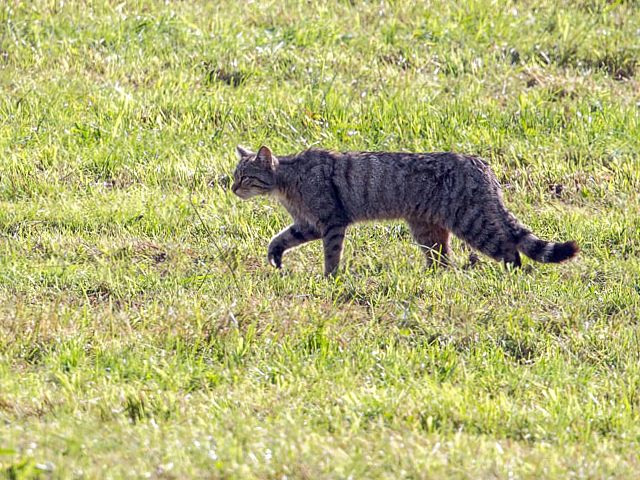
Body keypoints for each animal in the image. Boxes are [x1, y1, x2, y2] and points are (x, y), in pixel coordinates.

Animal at [231, 144, 580, 276]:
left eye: (245, 177)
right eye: (235, 175)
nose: (232, 188)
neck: (287, 183)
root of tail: (482, 165)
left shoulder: (331, 221)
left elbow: (331, 255)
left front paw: (330, 278)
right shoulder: (308, 225)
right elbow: (279, 239)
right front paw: (275, 257)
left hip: (473, 223)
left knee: (510, 250)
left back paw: (510, 274)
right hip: (429, 231)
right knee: (442, 261)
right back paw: (431, 277)